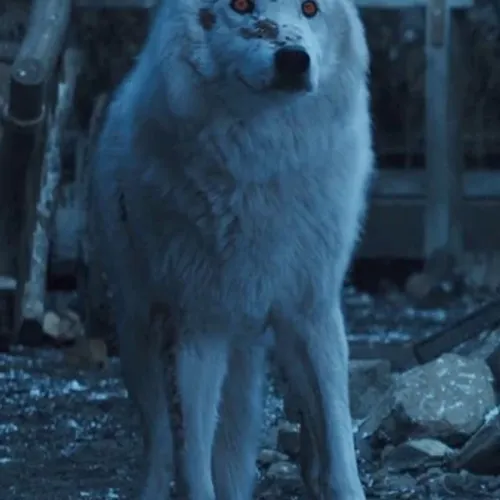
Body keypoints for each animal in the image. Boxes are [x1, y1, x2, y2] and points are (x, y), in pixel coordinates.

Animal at [89, 0, 373, 498]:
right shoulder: (195, 330)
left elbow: (339, 446)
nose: (294, 59)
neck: (263, 169)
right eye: (241, 6)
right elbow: (193, 463)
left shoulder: (314, 315)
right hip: (141, 340)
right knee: (160, 449)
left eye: (310, 8)